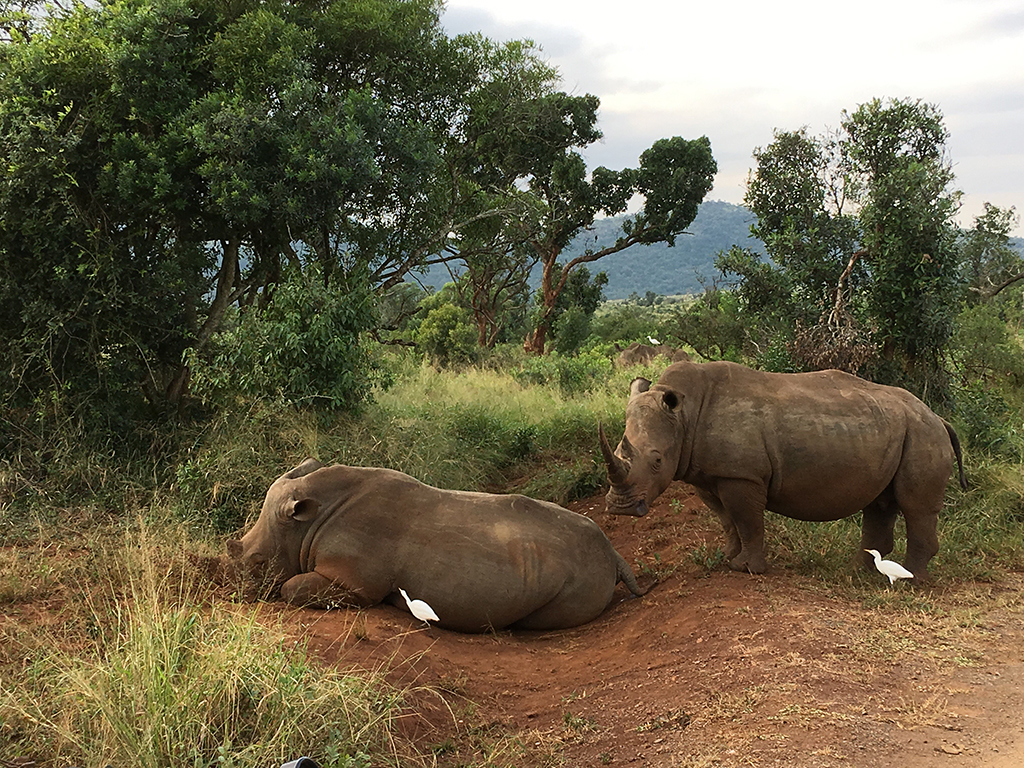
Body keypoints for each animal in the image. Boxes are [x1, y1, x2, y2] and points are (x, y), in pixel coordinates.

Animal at [227, 459, 645, 633]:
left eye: (258, 561)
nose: (236, 592)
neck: (306, 522)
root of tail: (612, 551)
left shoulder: (355, 583)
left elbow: (292, 587)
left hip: (580, 579)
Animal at [599, 361, 966, 580]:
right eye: (617, 451)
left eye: (657, 461)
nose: (620, 508)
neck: (685, 415)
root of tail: (939, 417)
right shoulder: (709, 474)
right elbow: (727, 521)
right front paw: (727, 559)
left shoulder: (742, 475)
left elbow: (747, 521)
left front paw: (748, 570)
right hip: (897, 430)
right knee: (880, 503)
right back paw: (857, 573)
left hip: (922, 434)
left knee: (915, 507)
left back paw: (912, 581)